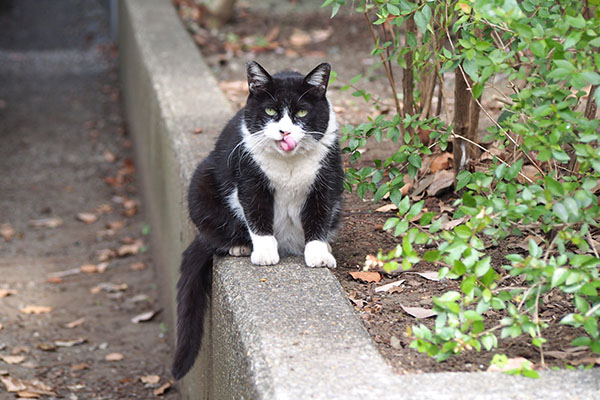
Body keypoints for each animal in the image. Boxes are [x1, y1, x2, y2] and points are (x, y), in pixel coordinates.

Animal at [171, 61, 344, 380]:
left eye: (302, 113)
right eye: (271, 111)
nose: (285, 131)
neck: (288, 164)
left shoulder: (326, 180)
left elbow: (319, 216)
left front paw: (318, 254)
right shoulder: (250, 178)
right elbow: (257, 214)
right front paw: (264, 253)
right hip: (201, 184)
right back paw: (239, 246)